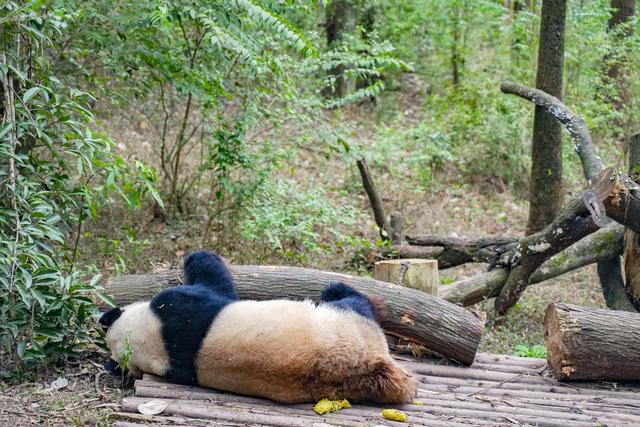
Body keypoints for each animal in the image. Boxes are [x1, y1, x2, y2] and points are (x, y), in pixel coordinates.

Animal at [100, 251, 420, 404]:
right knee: (346, 298)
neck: (155, 343)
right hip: (349, 324)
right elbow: (219, 287)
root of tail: (369, 366)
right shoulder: (179, 311)